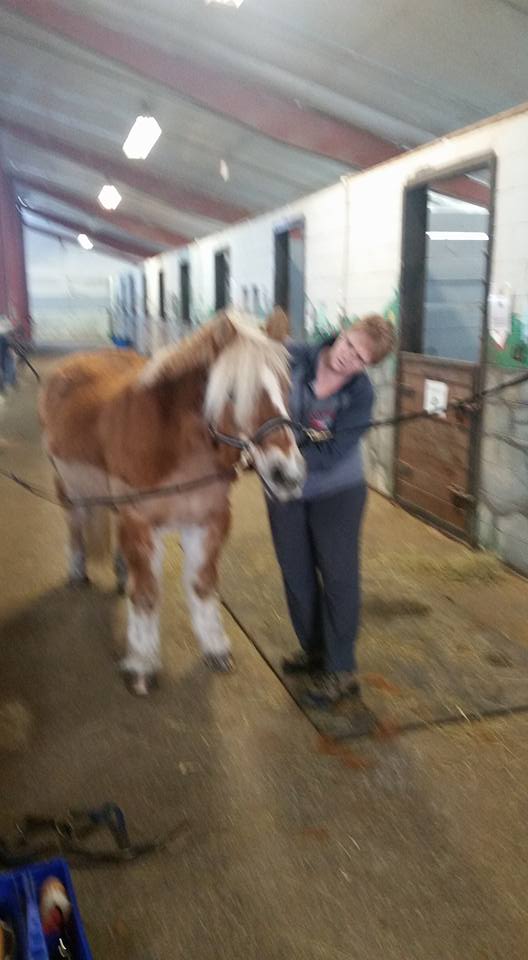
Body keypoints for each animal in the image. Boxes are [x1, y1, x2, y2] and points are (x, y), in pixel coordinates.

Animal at [39, 310, 305, 695]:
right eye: (231, 393)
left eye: (285, 386)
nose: (288, 475)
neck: (175, 446)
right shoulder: (140, 525)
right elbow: (147, 595)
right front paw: (141, 664)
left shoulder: (209, 522)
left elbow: (202, 585)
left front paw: (215, 648)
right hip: (68, 487)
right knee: (74, 522)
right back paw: (77, 571)